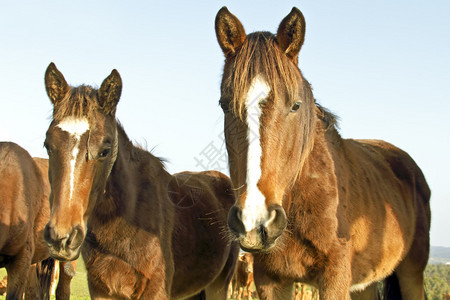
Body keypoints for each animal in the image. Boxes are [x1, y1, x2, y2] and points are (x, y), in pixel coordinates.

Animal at [42, 62, 239, 298]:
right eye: (48, 145)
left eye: (105, 150)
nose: (61, 238)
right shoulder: (100, 290)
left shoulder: (155, 290)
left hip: (219, 285)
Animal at [216, 5, 430, 298]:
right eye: (224, 105)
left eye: (295, 105)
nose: (254, 220)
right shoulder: (269, 279)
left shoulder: (334, 278)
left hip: (412, 273)